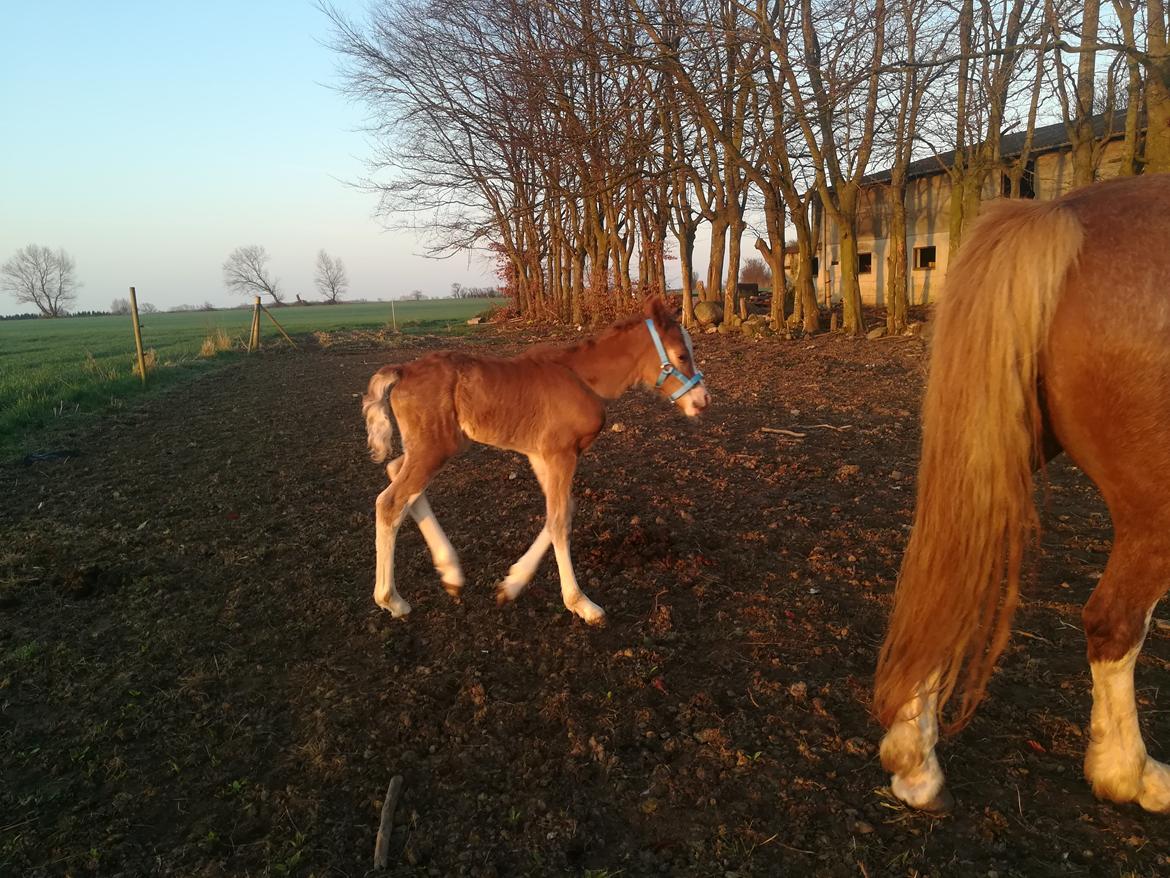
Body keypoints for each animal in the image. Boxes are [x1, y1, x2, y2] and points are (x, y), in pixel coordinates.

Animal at [360, 296, 706, 627]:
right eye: (681, 356)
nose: (703, 401)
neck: (583, 378)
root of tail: (402, 370)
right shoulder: (560, 453)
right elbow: (559, 520)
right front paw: (582, 604)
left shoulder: (542, 456)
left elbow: (561, 512)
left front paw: (510, 584)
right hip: (434, 448)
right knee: (391, 502)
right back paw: (393, 600)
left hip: (433, 446)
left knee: (397, 474)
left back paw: (451, 573)